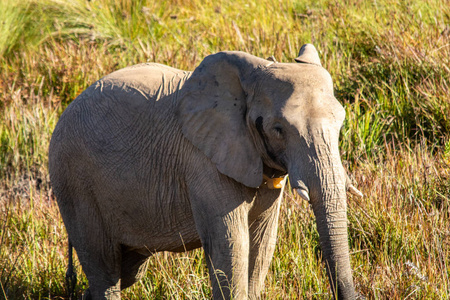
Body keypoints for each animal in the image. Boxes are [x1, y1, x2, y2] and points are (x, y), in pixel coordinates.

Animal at [48, 43, 362, 298]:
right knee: (106, 272)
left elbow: (262, 244)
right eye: (278, 129)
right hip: (74, 182)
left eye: (341, 123)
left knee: (128, 270)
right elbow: (231, 246)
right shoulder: (203, 164)